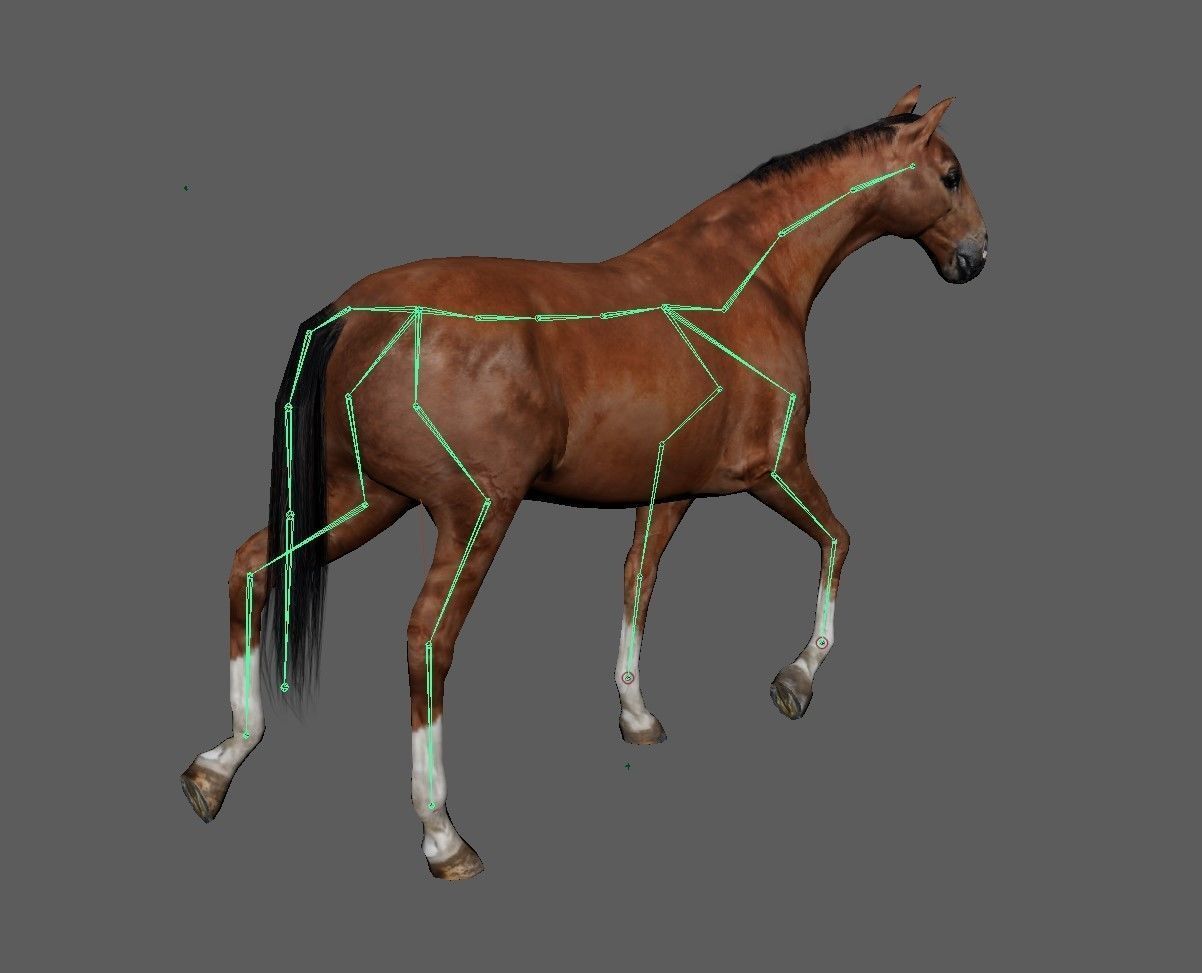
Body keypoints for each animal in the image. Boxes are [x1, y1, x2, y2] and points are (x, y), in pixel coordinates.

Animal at [181, 85, 988, 880]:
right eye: (950, 176)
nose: (976, 255)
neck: (746, 280)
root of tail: (355, 314)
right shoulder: (773, 469)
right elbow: (839, 541)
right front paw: (795, 680)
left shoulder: (669, 492)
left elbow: (637, 583)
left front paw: (637, 716)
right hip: (474, 514)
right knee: (426, 639)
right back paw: (443, 836)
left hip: (362, 499)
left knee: (252, 568)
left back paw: (216, 767)